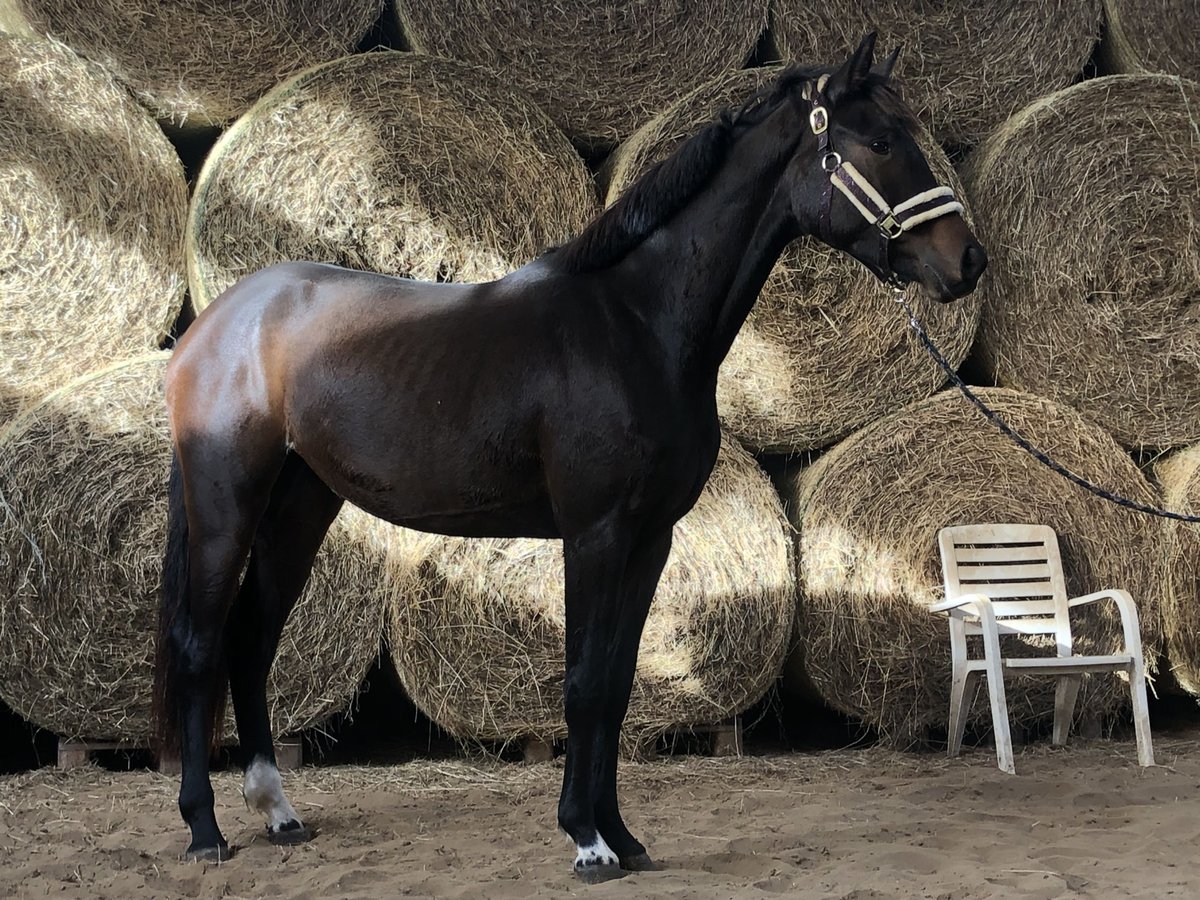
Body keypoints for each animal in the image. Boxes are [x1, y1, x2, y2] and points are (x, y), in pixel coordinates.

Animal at [154, 33, 988, 883]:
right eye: (880, 141)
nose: (969, 261)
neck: (635, 324)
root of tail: (215, 324)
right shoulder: (595, 533)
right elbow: (584, 682)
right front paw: (586, 841)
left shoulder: (650, 540)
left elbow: (617, 687)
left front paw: (622, 835)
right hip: (226, 506)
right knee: (200, 645)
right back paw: (204, 829)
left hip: (299, 507)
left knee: (252, 640)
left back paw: (278, 812)